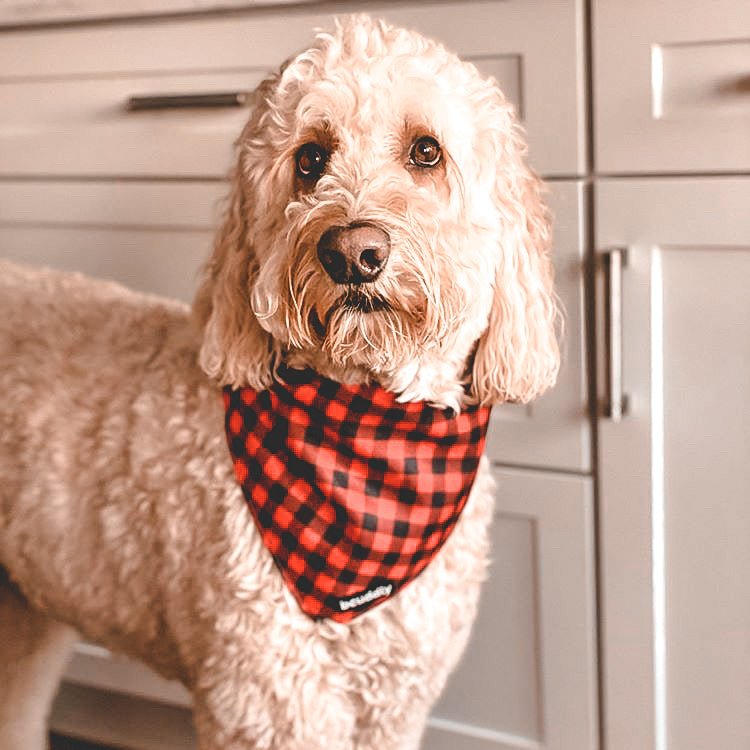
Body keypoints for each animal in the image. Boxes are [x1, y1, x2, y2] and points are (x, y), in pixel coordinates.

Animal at [0, 13, 560, 750]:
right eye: (310, 160)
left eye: (426, 152)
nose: (352, 252)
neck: (373, 430)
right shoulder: (273, 699)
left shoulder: (397, 700)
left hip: (23, 612)